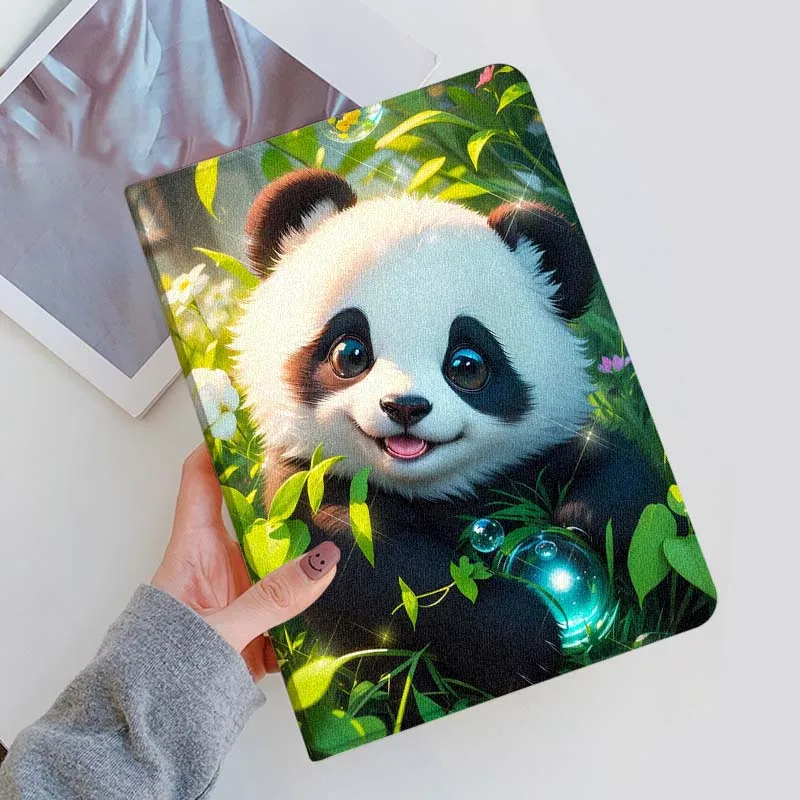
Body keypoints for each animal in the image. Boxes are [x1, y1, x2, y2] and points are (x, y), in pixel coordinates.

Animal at [232, 168, 661, 696]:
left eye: (466, 364)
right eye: (350, 353)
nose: (405, 407)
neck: (436, 489)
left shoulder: (542, 453)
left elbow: (626, 481)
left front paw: (583, 525)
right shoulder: (307, 488)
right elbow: (383, 575)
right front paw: (525, 628)